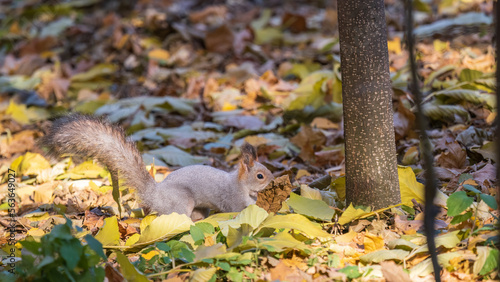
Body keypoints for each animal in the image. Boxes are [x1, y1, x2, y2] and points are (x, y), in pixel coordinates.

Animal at [39, 113, 276, 219]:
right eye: (260, 175)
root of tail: (154, 194)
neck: (240, 183)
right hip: (181, 202)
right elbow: (240, 209)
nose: (274, 179)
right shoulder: (234, 199)